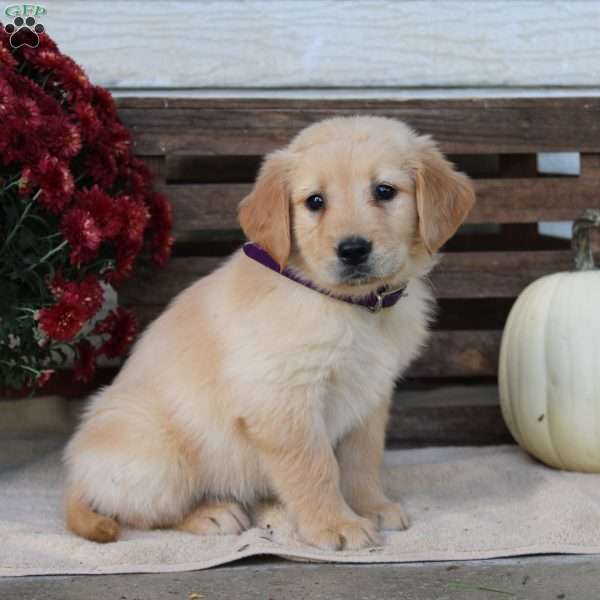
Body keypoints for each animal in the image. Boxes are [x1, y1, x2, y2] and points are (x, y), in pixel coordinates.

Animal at [63, 116, 476, 548]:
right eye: (315, 201)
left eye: (384, 191)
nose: (353, 250)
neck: (351, 306)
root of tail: (76, 476)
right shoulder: (283, 398)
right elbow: (316, 467)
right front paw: (335, 524)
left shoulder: (370, 395)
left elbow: (362, 459)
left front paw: (370, 506)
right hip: (157, 452)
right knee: (144, 512)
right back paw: (211, 513)